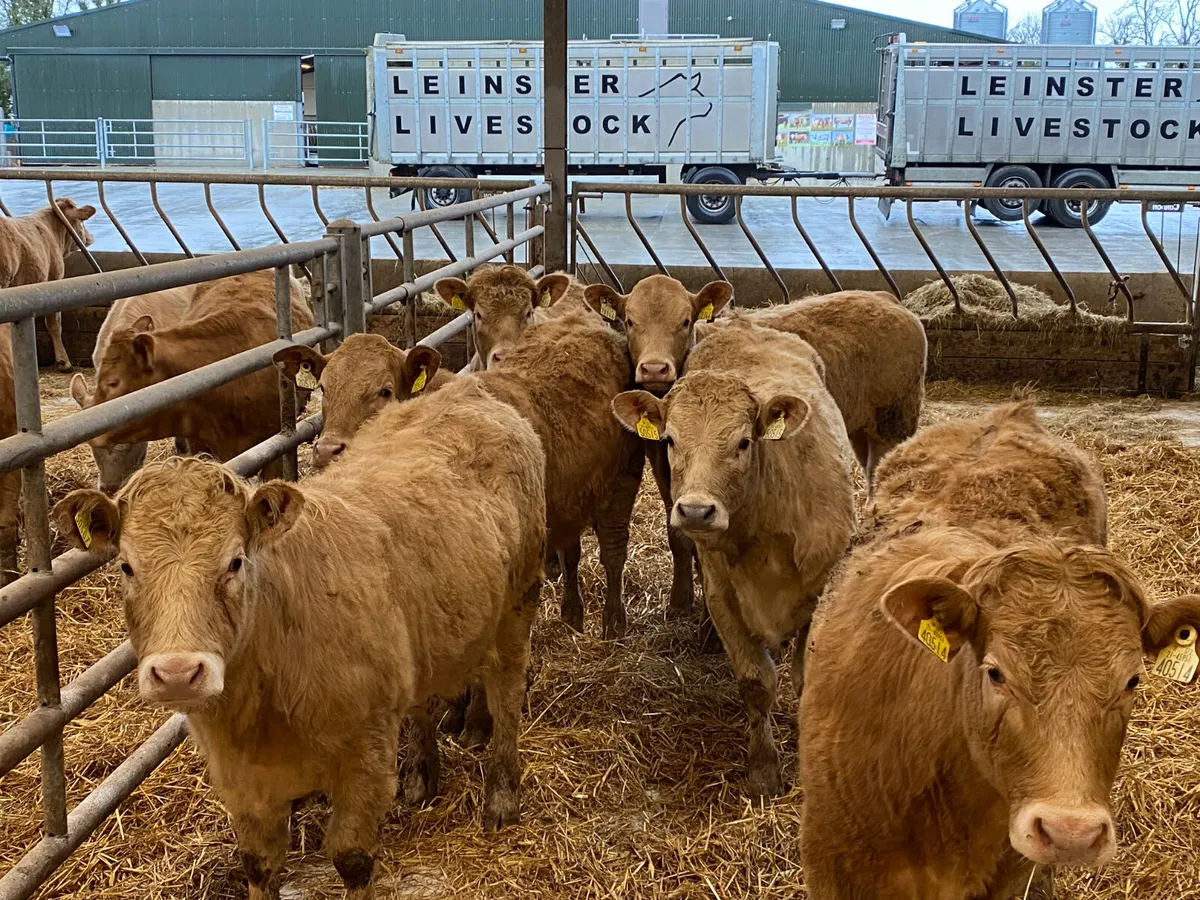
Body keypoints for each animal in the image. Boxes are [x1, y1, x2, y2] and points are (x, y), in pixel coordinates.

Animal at [53, 374, 547, 900]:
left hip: (520, 599)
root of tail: (465, 389)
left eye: (235, 561)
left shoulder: (365, 762)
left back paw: (501, 795)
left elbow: (352, 859)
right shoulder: (242, 784)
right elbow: (258, 865)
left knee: (507, 692)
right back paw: (420, 776)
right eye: (126, 566)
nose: (178, 673)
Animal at [613, 318, 855, 797]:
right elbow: (755, 681)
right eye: (670, 440)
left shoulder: (821, 593)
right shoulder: (723, 594)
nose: (695, 510)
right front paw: (764, 770)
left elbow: (805, 679)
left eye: (743, 442)